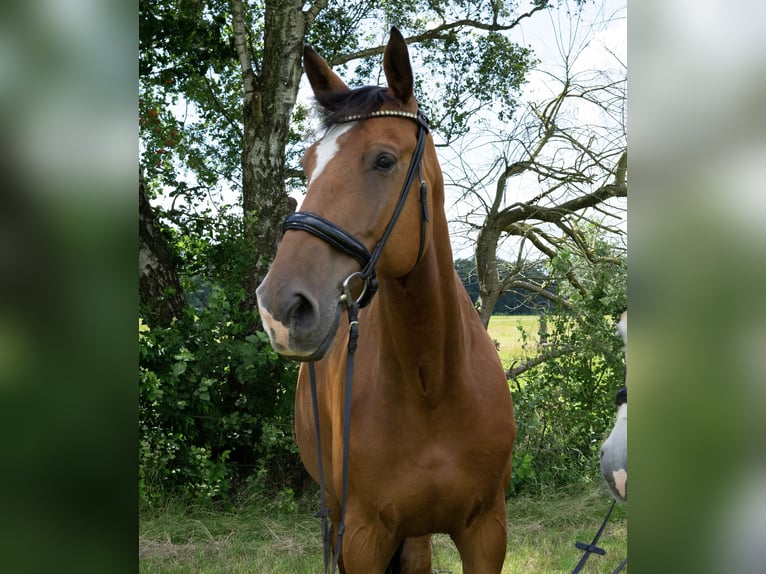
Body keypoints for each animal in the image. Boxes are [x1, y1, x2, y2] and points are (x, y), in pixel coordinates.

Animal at [256, 28, 516, 574]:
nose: (280, 308)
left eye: (383, 160)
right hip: (337, 511)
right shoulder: (363, 537)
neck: (432, 384)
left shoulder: (487, 533)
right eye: (308, 164)